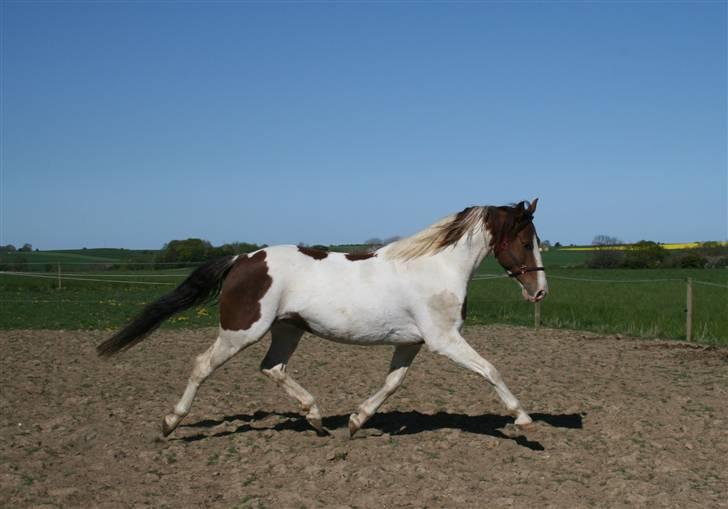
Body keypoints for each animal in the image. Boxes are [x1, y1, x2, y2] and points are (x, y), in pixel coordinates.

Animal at [99, 198, 548, 436]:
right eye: (526, 242)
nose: (539, 292)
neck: (436, 268)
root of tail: (242, 258)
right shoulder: (444, 339)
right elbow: (491, 370)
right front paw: (524, 419)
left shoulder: (411, 341)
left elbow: (392, 384)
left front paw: (355, 420)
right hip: (242, 330)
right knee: (202, 365)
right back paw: (170, 423)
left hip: (287, 330)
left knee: (272, 368)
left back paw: (316, 419)